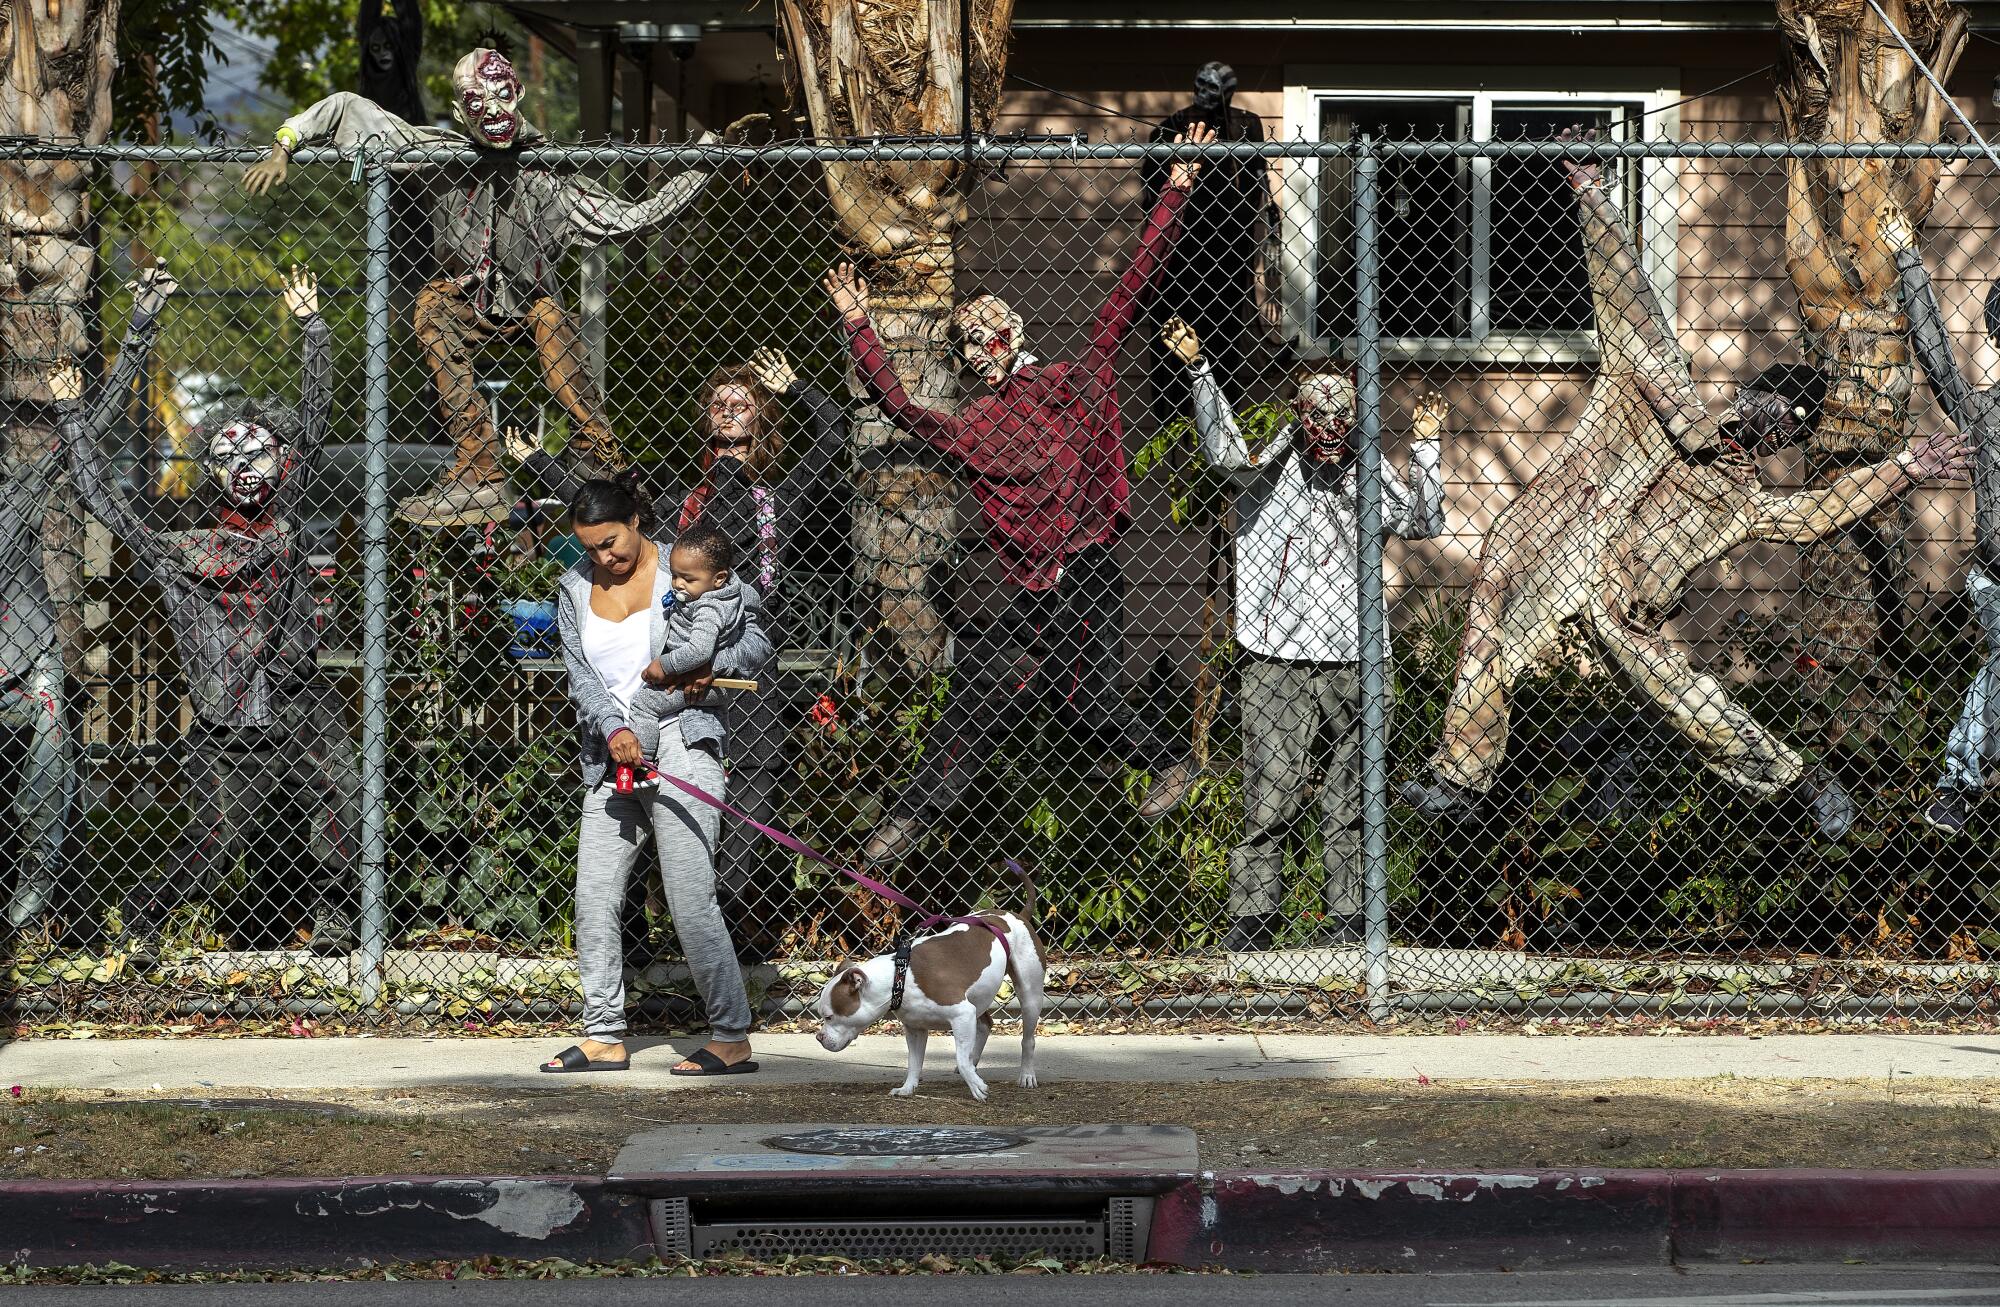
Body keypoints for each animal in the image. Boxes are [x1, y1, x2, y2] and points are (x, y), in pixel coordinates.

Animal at [816, 891, 1056, 1103]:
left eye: (829, 1017)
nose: (819, 1037)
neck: (899, 978)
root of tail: (1018, 915)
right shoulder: (916, 1028)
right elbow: (914, 1062)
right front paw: (907, 1088)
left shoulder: (962, 1014)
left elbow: (959, 1056)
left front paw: (976, 1086)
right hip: (978, 996)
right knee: (985, 1024)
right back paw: (973, 1060)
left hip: (1029, 994)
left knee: (1027, 1039)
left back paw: (1026, 1075)